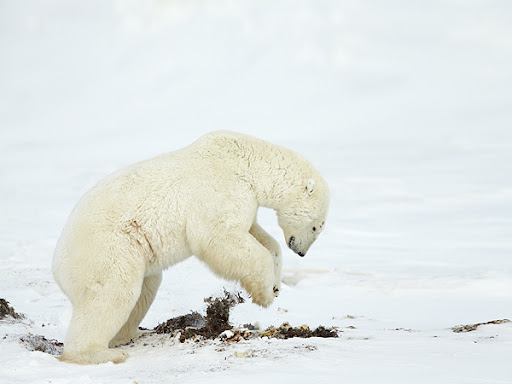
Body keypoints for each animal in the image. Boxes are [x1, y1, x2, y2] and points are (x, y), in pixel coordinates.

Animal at [52, 130, 330, 364]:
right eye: (317, 226)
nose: (301, 252)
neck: (246, 163)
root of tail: (57, 268)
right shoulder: (221, 188)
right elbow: (219, 235)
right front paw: (264, 296)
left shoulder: (246, 199)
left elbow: (258, 235)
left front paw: (275, 285)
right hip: (108, 248)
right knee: (112, 293)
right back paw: (101, 352)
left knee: (145, 288)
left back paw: (125, 335)